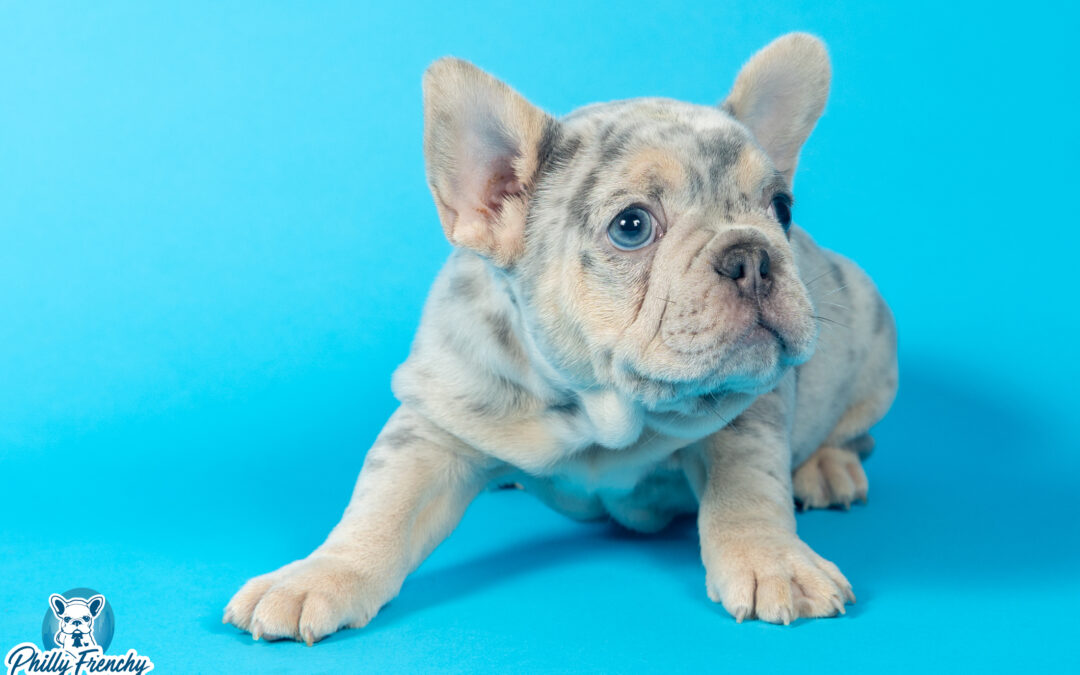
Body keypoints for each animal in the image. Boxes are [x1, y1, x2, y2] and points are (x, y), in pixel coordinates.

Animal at [225, 31, 894, 643]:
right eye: (632, 226)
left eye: (782, 208)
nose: (752, 256)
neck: (601, 411)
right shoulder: (433, 421)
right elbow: (381, 504)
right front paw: (318, 575)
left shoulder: (750, 409)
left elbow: (750, 488)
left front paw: (775, 560)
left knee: (853, 433)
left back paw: (828, 467)